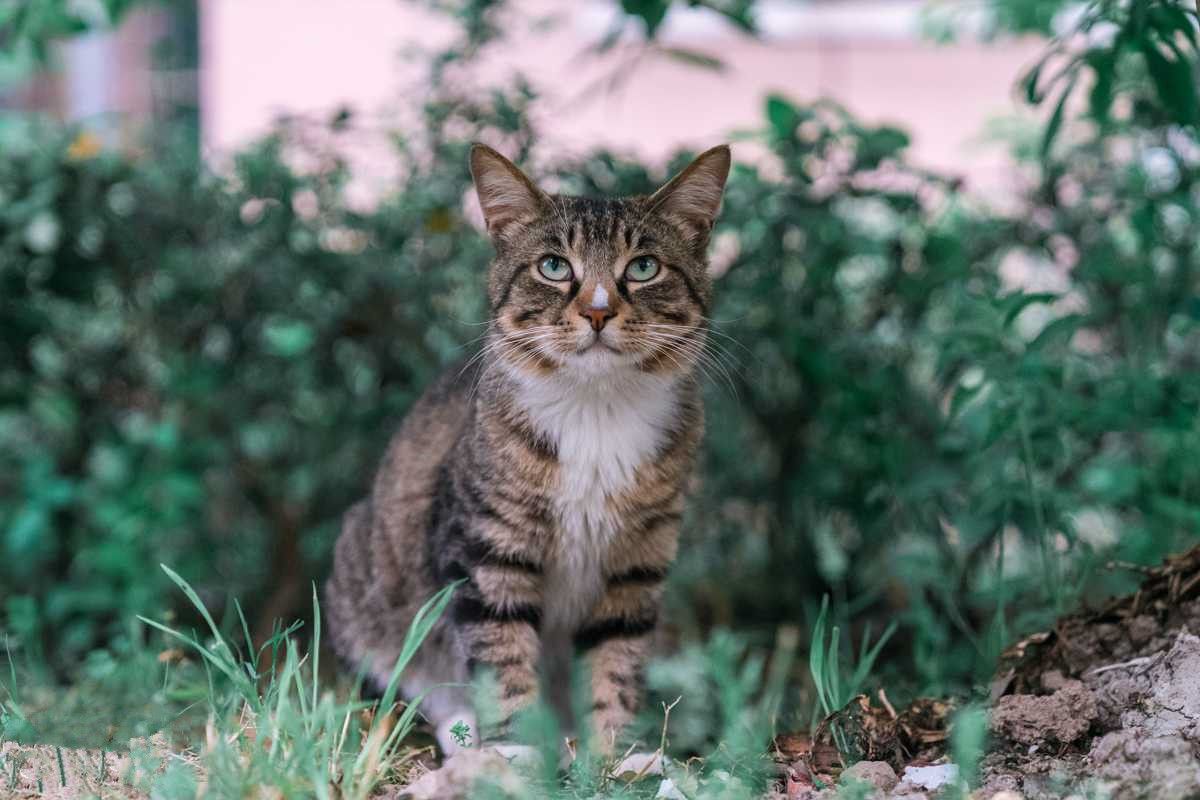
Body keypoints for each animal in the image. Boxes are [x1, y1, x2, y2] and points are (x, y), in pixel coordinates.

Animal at [321, 143, 729, 758]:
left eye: (644, 267)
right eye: (553, 266)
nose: (598, 311)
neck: (595, 411)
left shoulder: (637, 561)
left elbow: (618, 655)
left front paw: (616, 755)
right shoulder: (486, 548)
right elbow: (501, 650)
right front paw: (514, 750)